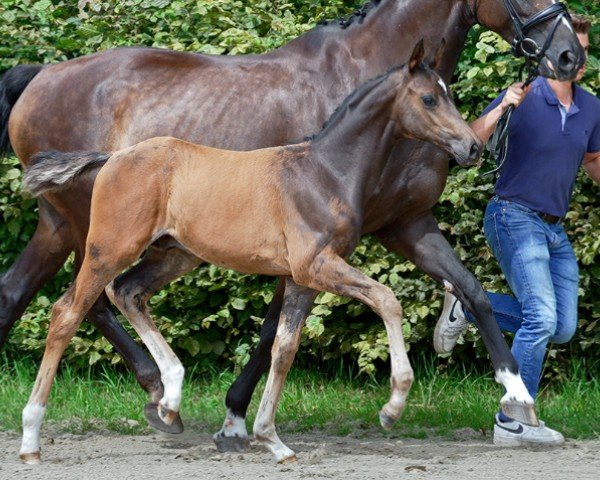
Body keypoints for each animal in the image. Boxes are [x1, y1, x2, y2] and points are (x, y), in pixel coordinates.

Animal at [19, 42, 482, 464]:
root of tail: (113, 156)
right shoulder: (317, 265)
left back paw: (169, 400)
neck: (325, 173)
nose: (474, 147)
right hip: (108, 249)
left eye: (448, 93)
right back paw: (30, 439)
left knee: (128, 292)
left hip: (175, 254)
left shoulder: (301, 278)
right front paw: (393, 406)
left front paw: (272, 440)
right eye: (429, 98)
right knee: (67, 313)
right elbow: (387, 299)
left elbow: (283, 348)